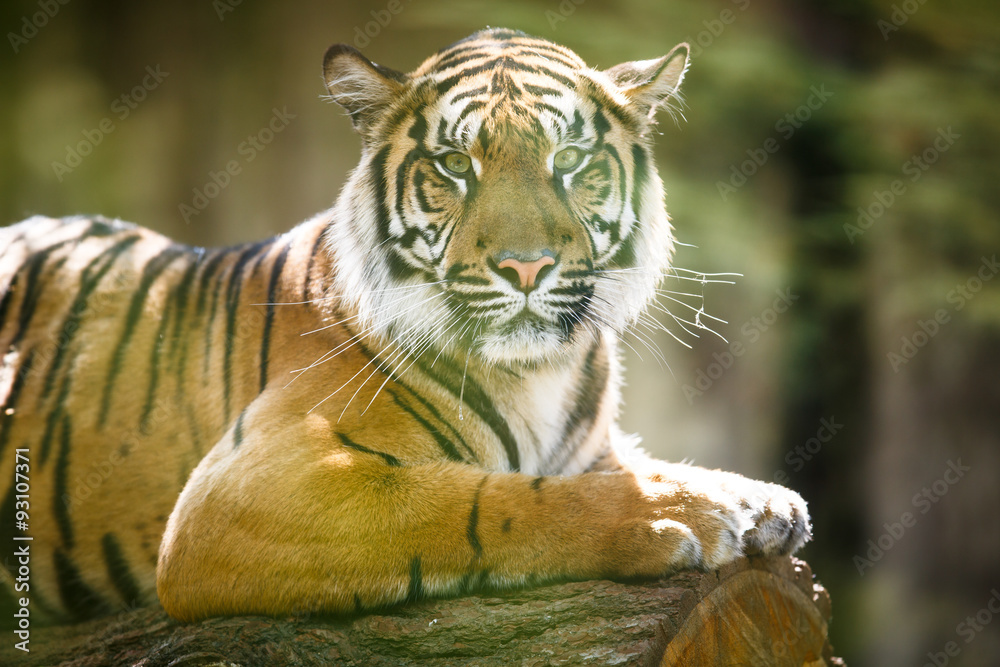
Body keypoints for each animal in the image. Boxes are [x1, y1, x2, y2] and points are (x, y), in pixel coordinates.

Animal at [0, 28, 809, 625]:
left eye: (572, 158)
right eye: (454, 164)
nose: (526, 267)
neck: (541, 373)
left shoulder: (599, 449)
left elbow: (650, 464)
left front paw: (756, 499)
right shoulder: (245, 486)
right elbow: (483, 501)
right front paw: (677, 517)